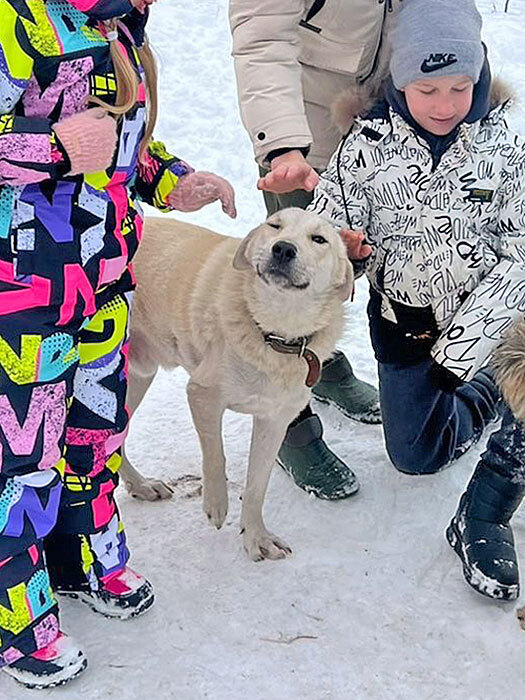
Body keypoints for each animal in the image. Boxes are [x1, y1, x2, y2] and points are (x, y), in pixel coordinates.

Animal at [122, 205, 352, 560]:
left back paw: (141, 485)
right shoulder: (202, 395)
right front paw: (216, 504)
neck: (274, 334)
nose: (283, 249)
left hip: (137, 377)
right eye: (274, 225)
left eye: (319, 239)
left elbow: (257, 485)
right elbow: (216, 455)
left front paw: (256, 537)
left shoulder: (275, 420)